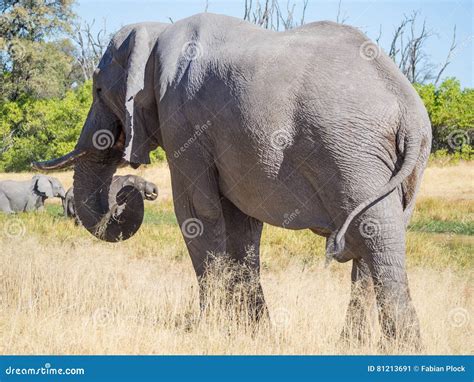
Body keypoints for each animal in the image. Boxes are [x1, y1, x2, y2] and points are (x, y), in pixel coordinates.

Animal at [33, 14, 432, 346]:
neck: (158, 30)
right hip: (390, 164)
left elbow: (196, 214)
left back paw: (399, 349)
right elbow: (242, 225)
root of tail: (408, 107)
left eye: (99, 91)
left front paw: (204, 331)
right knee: (375, 238)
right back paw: (353, 346)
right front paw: (257, 335)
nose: (131, 192)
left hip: (351, 152)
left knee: (374, 235)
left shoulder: (183, 122)